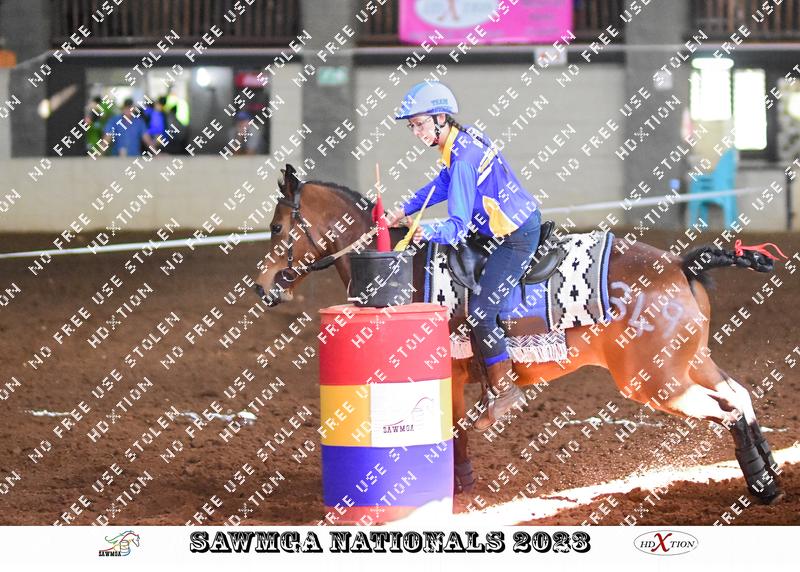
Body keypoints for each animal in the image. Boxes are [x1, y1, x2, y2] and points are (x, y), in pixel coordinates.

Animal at [253, 164, 784, 506]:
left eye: (278, 226)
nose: (261, 286)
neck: (401, 268)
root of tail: (678, 263)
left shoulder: (448, 373)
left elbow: (456, 429)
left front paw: (458, 485)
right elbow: (457, 429)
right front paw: (460, 481)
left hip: (656, 382)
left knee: (726, 408)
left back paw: (761, 484)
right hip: (692, 363)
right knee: (740, 396)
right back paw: (770, 477)